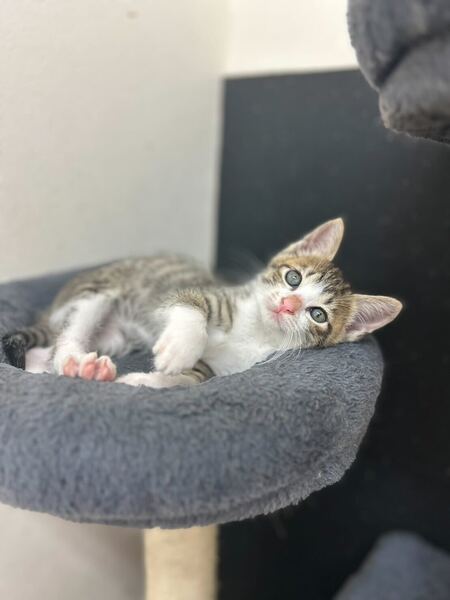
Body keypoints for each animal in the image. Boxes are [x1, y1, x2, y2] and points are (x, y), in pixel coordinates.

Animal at [2, 219, 402, 388]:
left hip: (113, 338)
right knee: (67, 337)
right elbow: (190, 308)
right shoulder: (187, 295)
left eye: (317, 314)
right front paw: (180, 346)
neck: (253, 330)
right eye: (293, 279)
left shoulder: (216, 369)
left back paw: (74, 368)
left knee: (46, 355)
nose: (288, 304)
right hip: (97, 294)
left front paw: (145, 382)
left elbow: (188, 380)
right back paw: (75, 360)